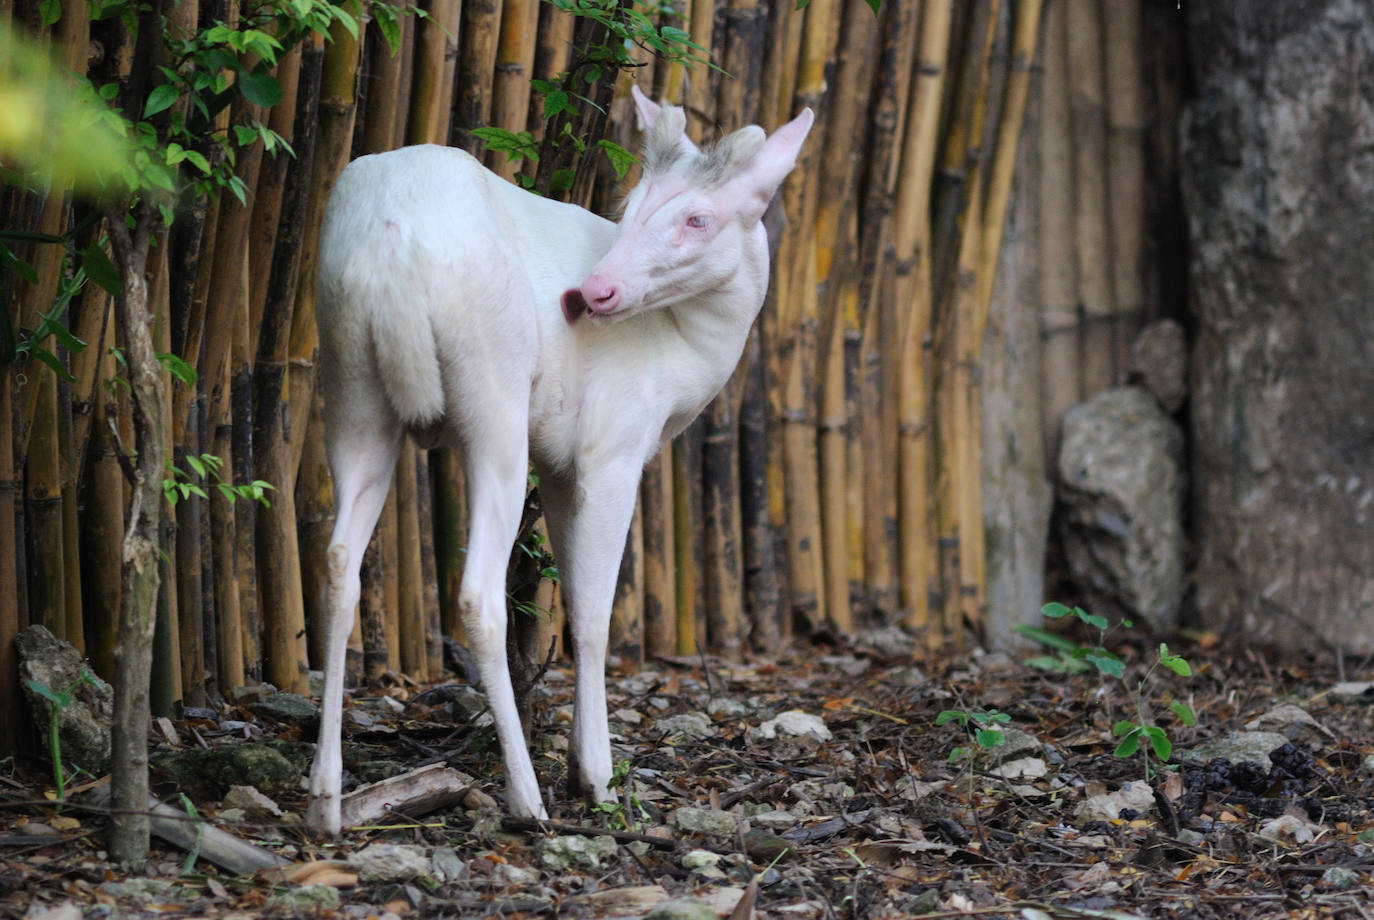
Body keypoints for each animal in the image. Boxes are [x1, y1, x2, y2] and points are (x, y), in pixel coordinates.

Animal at [306, 84, 807, 834]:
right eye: (632, 204)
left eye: (697, 217)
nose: (593, 294)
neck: (681, 362)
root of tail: (388, 251)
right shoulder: (612, 445)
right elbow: (594, 613)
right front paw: (595, 777)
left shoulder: (563, 464)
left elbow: (569, 590)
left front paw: (579, 762)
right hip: (492, 391)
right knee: (478, 592)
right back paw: (526, 798)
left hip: (346, 379)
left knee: (339, 565)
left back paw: (325, 798)